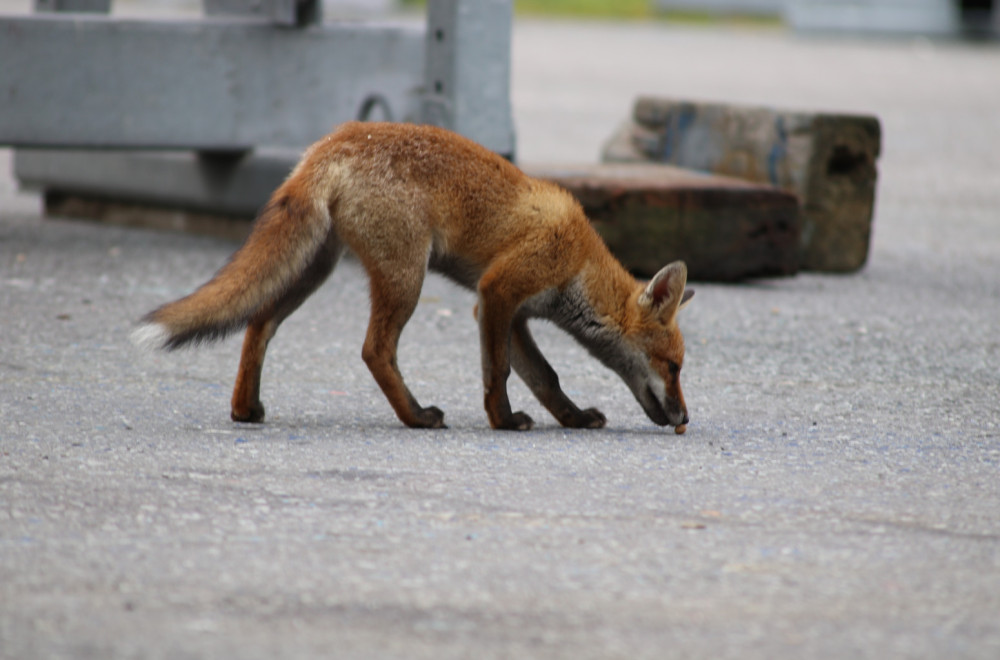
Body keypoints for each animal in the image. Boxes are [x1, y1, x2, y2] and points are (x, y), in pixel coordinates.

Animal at [133, 122, 696, 434]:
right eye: (673, 367)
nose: (686, 418)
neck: (578, 263)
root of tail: (333, 140)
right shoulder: (499, 291)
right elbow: (499, 373)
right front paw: (503, 421)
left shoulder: (509, 312)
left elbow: (544, 377)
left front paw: (572, 418)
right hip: (406, 275)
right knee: (374, 349)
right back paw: (416, 416)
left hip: (315, 268)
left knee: (258, 323)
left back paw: (245, 408)